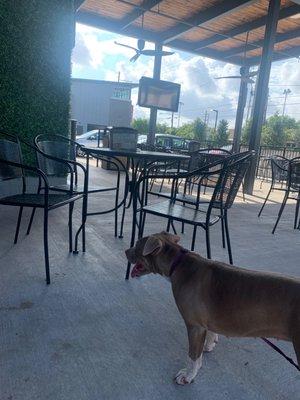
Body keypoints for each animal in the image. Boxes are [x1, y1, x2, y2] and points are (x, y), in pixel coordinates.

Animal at [125, 231, 300, 384]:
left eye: (137, 244)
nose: (126, 251)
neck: (178, 263)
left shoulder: (195, 326)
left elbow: (193, 355)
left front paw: (188, 375)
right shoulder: (206, 322)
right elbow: (210, 333)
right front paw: (209, 344)